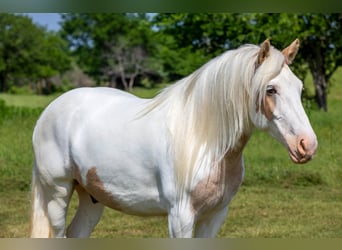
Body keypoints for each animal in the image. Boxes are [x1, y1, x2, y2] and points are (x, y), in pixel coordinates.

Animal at [30, 38, 318, 237]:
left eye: (300, 87)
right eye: (271, 89)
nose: (307, 145)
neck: (202, 139)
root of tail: (49, 111)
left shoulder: (215, 215)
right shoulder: (181, 217)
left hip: (92, 197)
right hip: (58, 193)